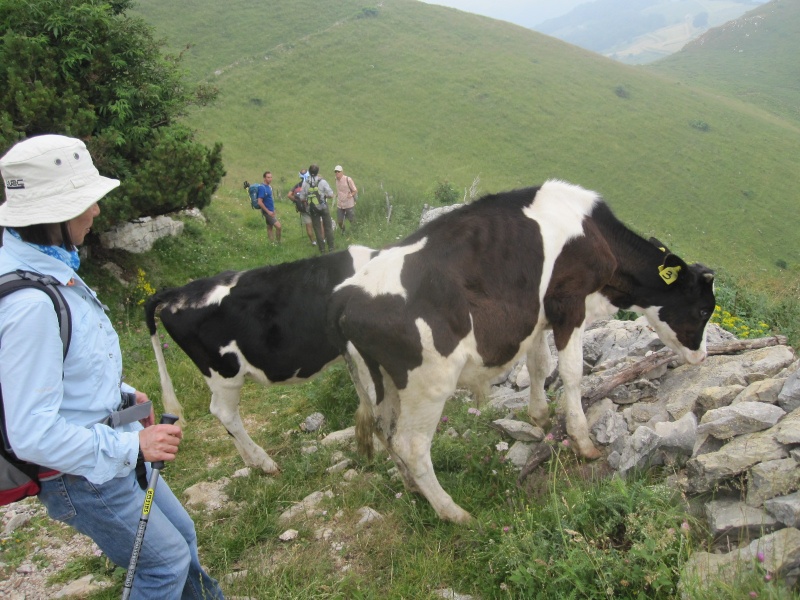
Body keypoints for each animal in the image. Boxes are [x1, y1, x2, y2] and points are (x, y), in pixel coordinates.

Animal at [328, 178, 716, 520]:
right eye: (702, 310)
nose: (702, 355)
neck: (594, 234)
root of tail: (346, 300)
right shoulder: (570, 304)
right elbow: (572, 373)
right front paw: (583, 442)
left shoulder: (539, 318)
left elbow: (540, 365)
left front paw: (540, 418)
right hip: (428, 382)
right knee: (411, 444)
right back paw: (454, 513)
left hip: (378, 381)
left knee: (385, 431)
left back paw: (412, 488)